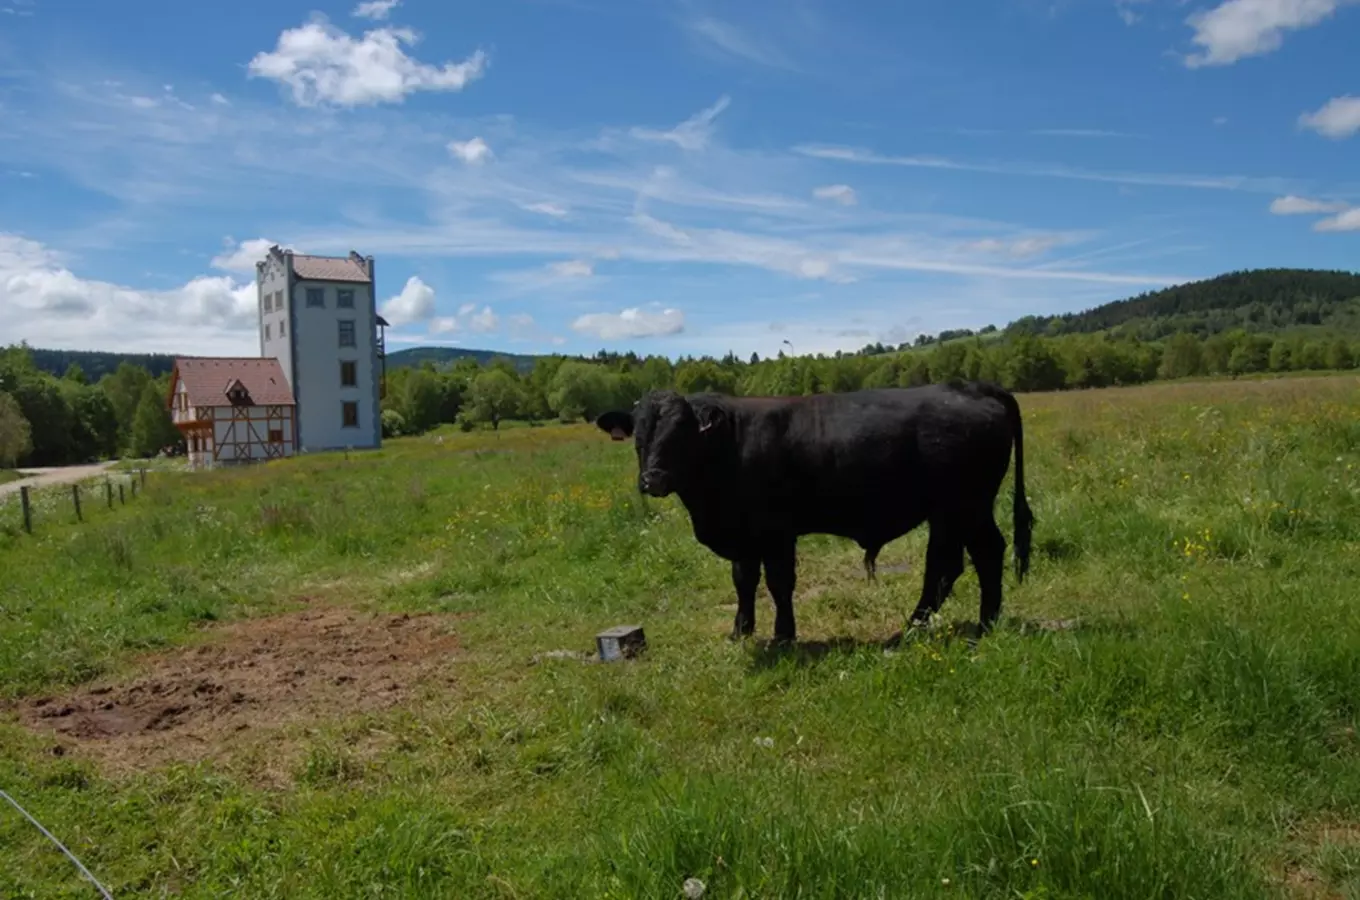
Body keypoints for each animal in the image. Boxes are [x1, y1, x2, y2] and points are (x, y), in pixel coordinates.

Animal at [592, 380, 1028, 649]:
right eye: (639, 434)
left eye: (681, 433)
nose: (653, 479)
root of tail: (972, 386)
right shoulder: (743, 535)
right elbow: (743, 582)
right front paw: (740, 631)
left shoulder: (776, 532)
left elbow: (779, 584)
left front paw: (784, 635)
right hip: (947, 513)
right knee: (945, 565)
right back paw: (915, 626)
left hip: (968, 505)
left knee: (986, 553)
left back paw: (983, 625)